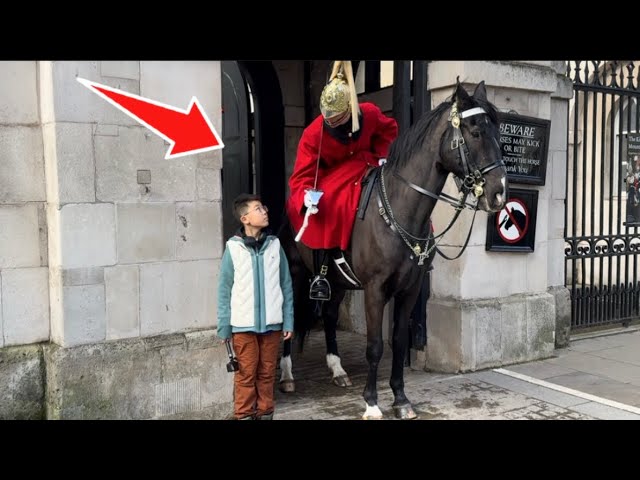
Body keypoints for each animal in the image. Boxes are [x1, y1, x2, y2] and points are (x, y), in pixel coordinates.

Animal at [278, 80, 508, 418]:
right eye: (476, 132)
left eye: (498, 131)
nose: (499, 193)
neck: (401, 211)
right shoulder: (375, 290)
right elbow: (375, 346)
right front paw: (372, 402)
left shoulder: (409, 289)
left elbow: (399, 341)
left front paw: (400, 398)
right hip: (295, 273)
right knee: (290, 317)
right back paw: (287, 375)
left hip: (338, 282)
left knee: (331, 316)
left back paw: (337, 369)